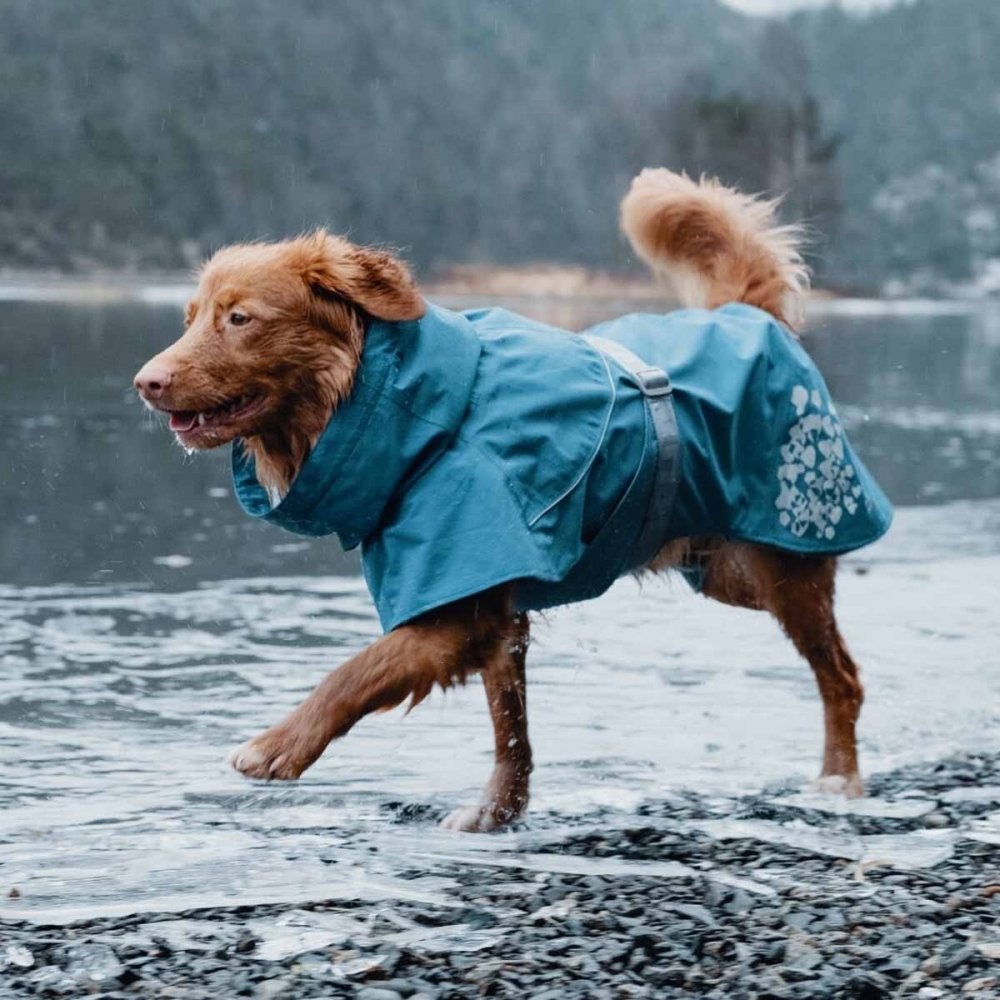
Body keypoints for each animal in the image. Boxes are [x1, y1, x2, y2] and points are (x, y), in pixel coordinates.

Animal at [135, 170, 876, 828]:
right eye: (190, 317)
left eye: (239, 318)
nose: (146, 381)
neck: (412, 410)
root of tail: (743, 314)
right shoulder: (495, 610)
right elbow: (510, 731)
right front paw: (500, 812)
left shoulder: (452, 612)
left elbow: (353, 671)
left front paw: (277, 746)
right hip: (725, 569)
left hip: (784, 565)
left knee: (843, 677)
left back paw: (839, 780)